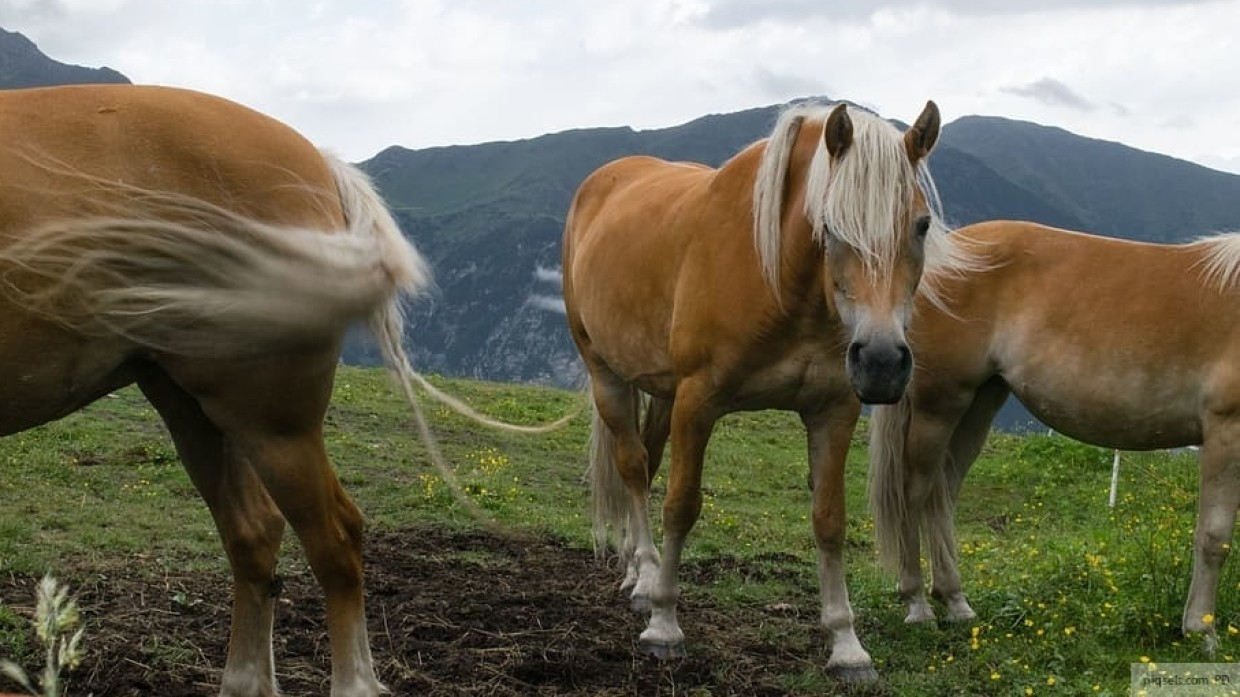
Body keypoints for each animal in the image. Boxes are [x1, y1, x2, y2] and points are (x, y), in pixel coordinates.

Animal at [560, 99, 977, 679]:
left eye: (921, 224)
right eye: (830, 224)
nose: (881, 361)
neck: (778, 281)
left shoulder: (833, 411)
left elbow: (829, 520)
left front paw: (846, 645)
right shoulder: (697, 404)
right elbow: (680, 505)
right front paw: (665, 625)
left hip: (660, 392)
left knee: (644, 460)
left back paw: (633, 569)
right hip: (609, 377)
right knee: (634, 470)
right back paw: (644, 579)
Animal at [868, 218, 1240, 649]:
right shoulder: (1226, 433)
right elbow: (1215, 537)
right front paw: (1202, 630)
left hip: (979, 403)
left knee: (941, 493)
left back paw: (956, 602)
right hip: (938, 404)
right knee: (914, 493)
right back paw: (917, 605)